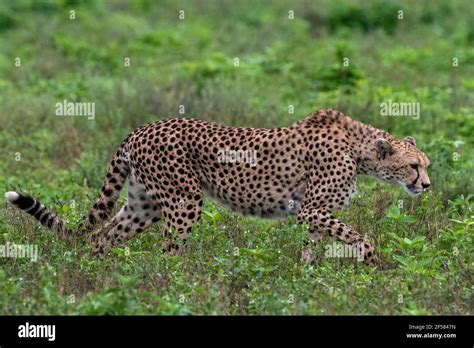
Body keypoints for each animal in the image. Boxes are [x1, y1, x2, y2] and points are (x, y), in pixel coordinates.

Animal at [5, 110, 432, 266]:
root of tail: (141, 128)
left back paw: (99, 280)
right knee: (168, 253)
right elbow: (362, 238)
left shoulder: (311, 215)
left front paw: (309, 281)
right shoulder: (313, 210)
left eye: (426, 165)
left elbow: (311, 250)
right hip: (184, 200)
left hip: (143, 205)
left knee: (102, 237)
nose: (426, 185)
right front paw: (375, 267)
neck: (361, 151)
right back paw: (175, 289)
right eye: (413, 166)